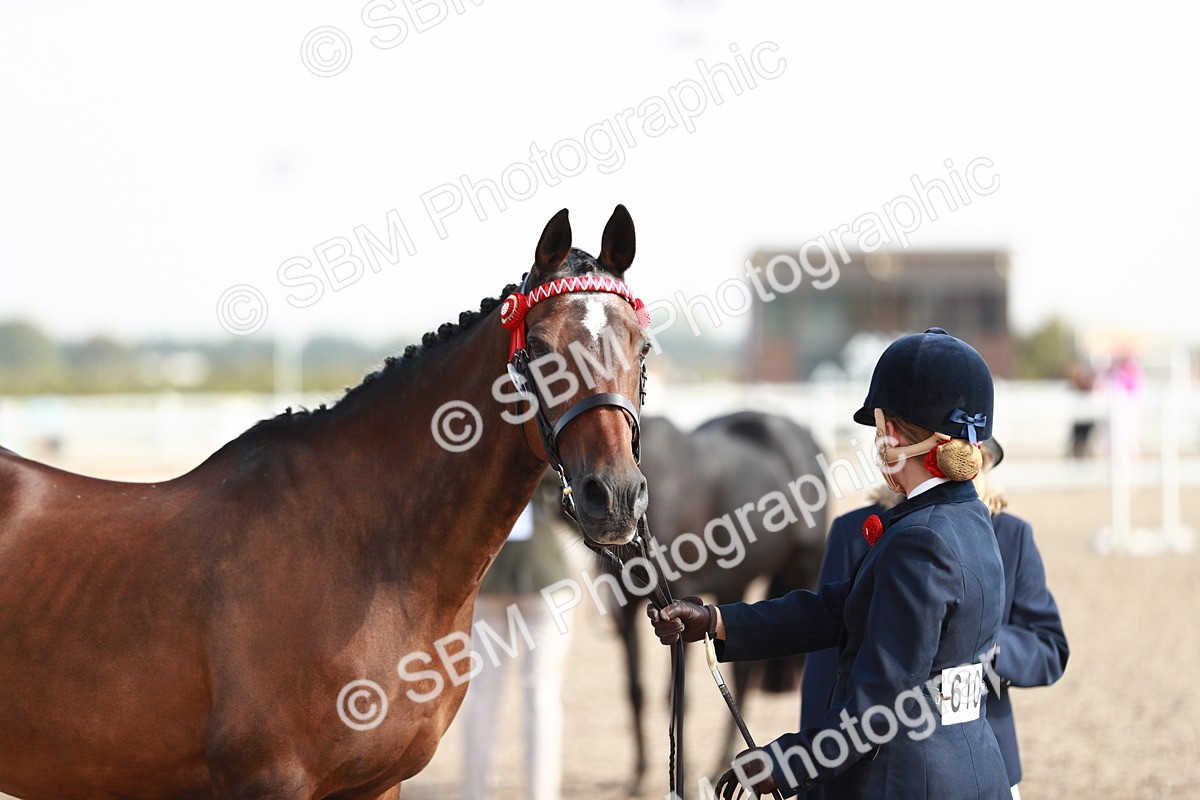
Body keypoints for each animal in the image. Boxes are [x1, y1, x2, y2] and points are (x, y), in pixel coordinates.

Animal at [0, 206, 652, 800]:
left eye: (642, 346)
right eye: (538, 346)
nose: (615, 496)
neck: (365, 556)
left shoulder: (377, 785)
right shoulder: (271, 783)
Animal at [610, 410, 828, 793]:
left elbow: (677, 693)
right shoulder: (628, 608)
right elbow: (635, 690)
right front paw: (638, 773)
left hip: (804, 567)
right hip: (738, 584)